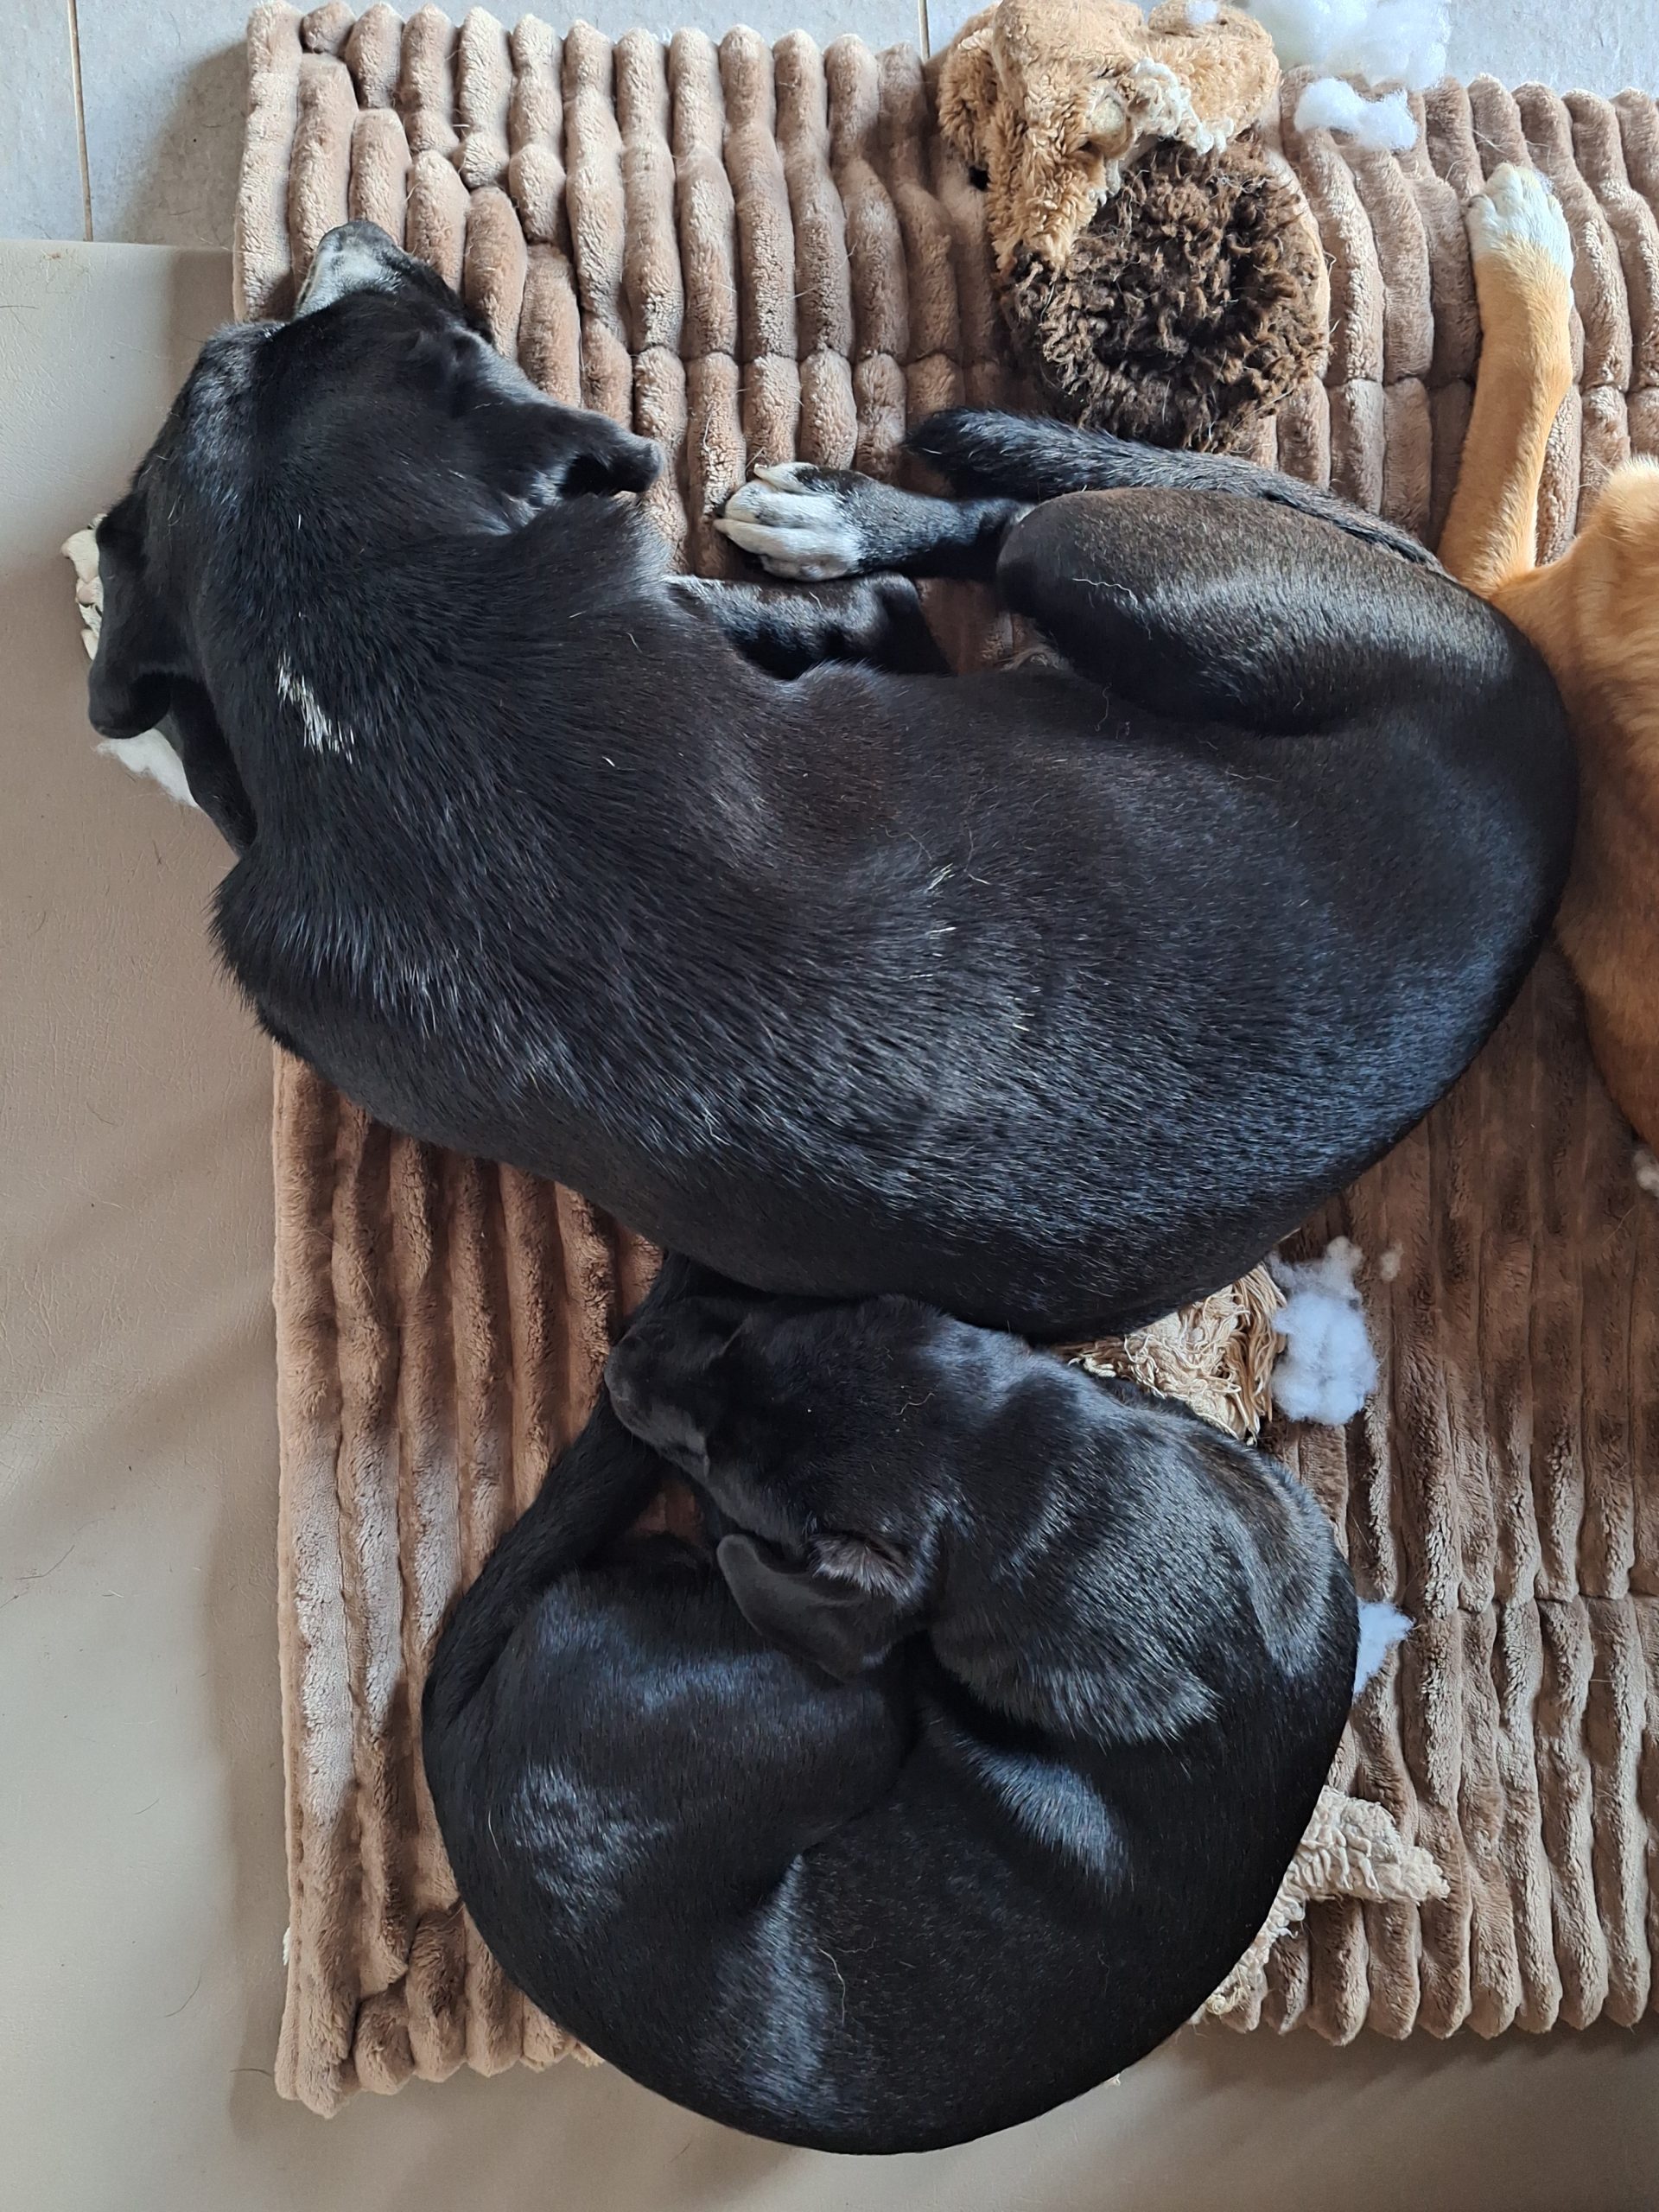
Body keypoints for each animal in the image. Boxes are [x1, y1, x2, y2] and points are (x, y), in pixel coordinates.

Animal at [87, 219, 1576, 1336]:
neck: (360, 649)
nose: (345, 232)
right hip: (1111, 567)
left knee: (997, 536)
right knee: (982, 556)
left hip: (1106, 560)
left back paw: (845, 521)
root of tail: (1530, 712)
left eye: (277, 344)